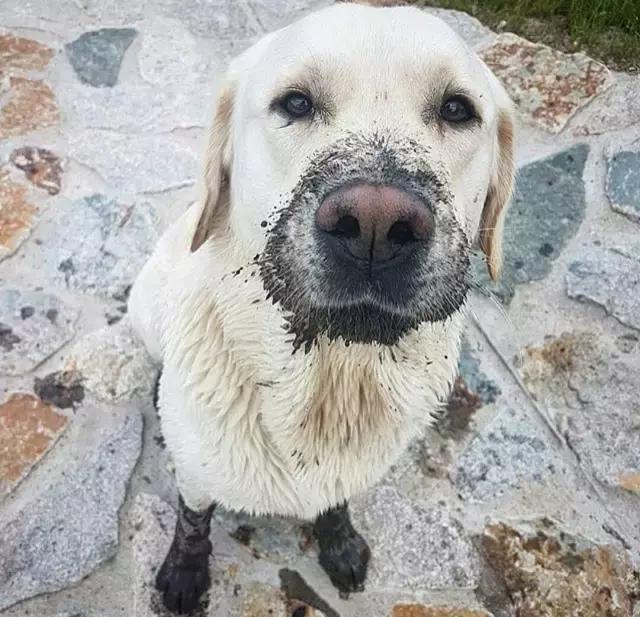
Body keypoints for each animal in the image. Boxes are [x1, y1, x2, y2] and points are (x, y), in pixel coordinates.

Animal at [127, 3, 512, 612]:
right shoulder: (197, 473)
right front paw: (186, 573)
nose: (376, 223)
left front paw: (340, 540)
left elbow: (336, 502)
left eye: (457, 109)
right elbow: (193, 518)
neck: (326, 379)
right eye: (296, 103)